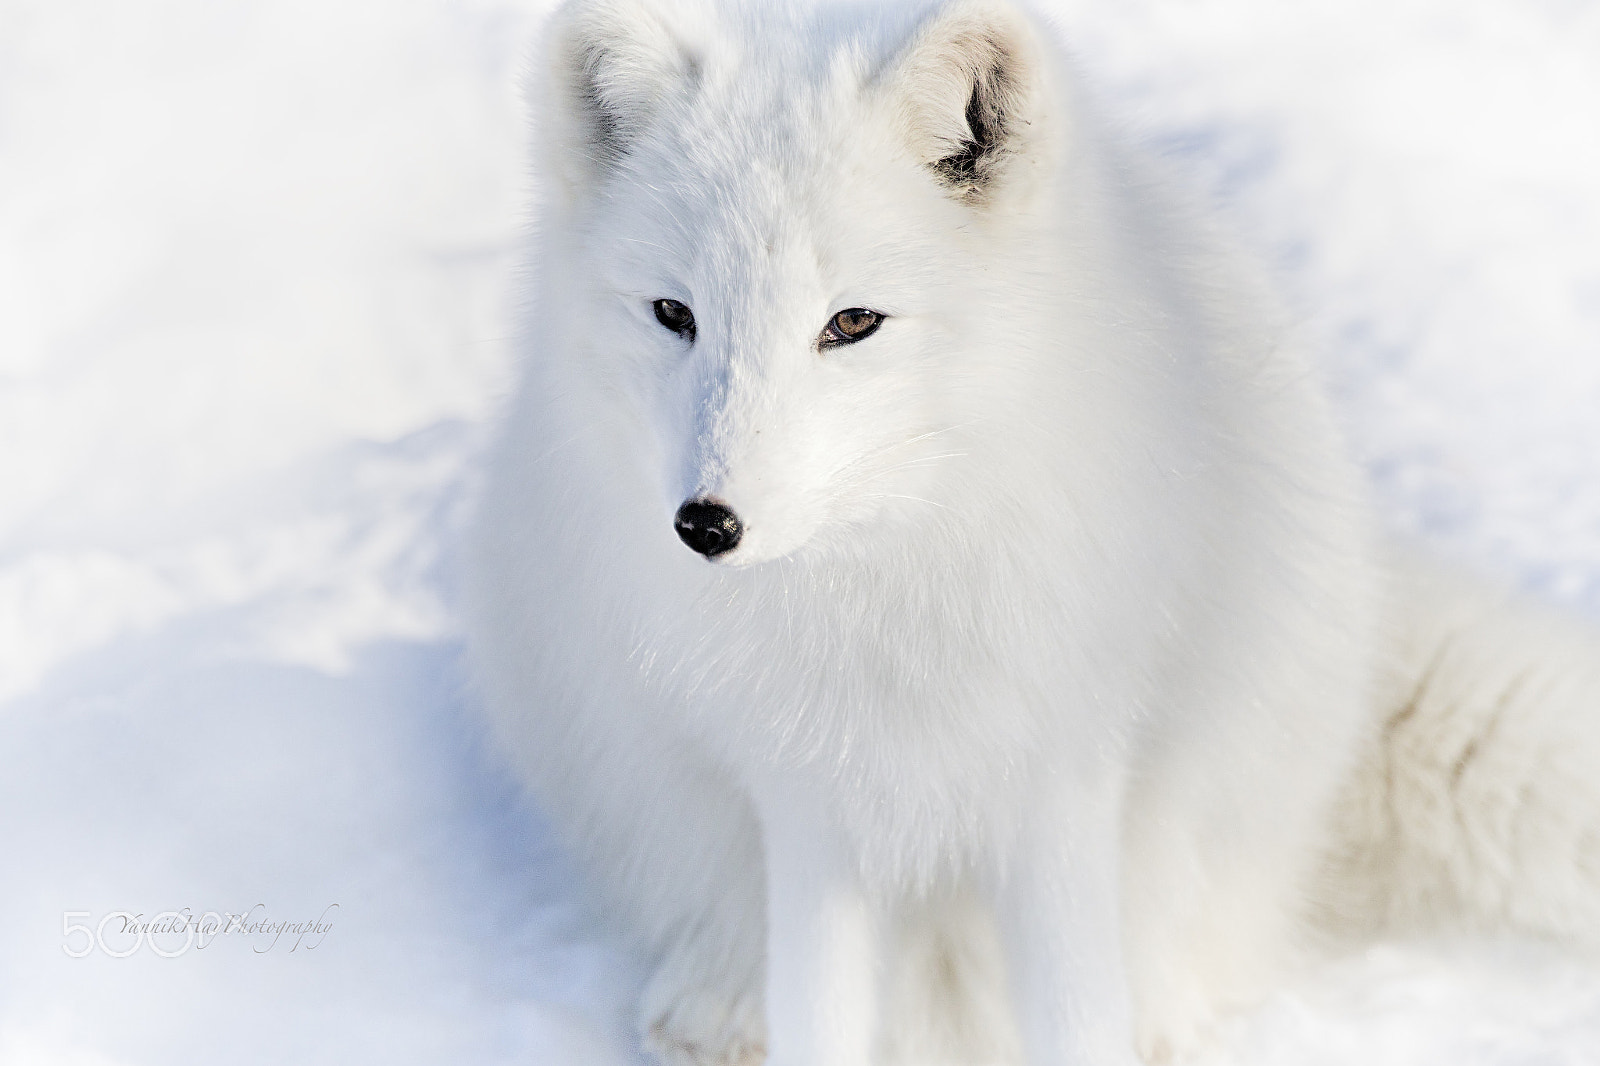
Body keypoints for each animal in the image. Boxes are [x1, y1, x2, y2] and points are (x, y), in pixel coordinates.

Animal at [464, 0, 1600, 1063]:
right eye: (674, 313)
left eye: (852, 323)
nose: (707, 523)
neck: (890, 588)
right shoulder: (808, 805)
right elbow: (818, 1009)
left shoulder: (1062, 783)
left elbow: (1077, 1012)